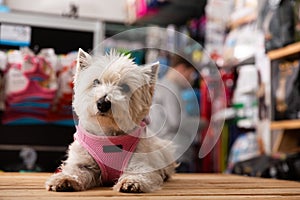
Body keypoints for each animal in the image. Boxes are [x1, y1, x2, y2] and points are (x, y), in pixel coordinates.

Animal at [44, 48, 176, 192]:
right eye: (96, 82)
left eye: (125, 87)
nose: (103, 103)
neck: (107, 133)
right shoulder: (82, 160)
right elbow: (74, 170)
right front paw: (63, 180)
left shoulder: (139, 159)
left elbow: (139, 172)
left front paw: (131, 183)